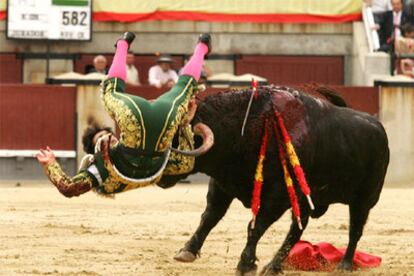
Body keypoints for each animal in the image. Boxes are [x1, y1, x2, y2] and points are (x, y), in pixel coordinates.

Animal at [158, 85, 388, 274]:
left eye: (175, 138)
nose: (157, 174)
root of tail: (378, 127)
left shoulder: (278, 196)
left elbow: (256, 226)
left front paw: (246, 264)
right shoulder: (222, 184)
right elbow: (209, 217)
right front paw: (187, 250)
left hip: (364, 199)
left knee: (355, 230)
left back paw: (345, 264)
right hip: (306, 200)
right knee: (297, 229)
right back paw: (273, 265)